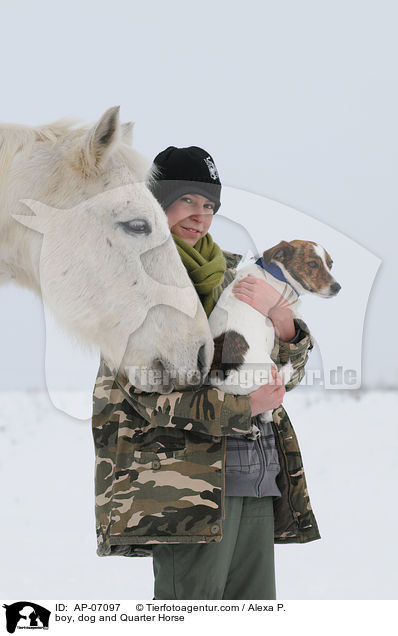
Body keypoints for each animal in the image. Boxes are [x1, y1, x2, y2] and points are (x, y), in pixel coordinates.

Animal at [207, 241, 340, 424]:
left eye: (330, 264)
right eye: (312, 264)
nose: (338, 287)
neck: (277, 274)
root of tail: (223, 374)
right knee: (265, 414)